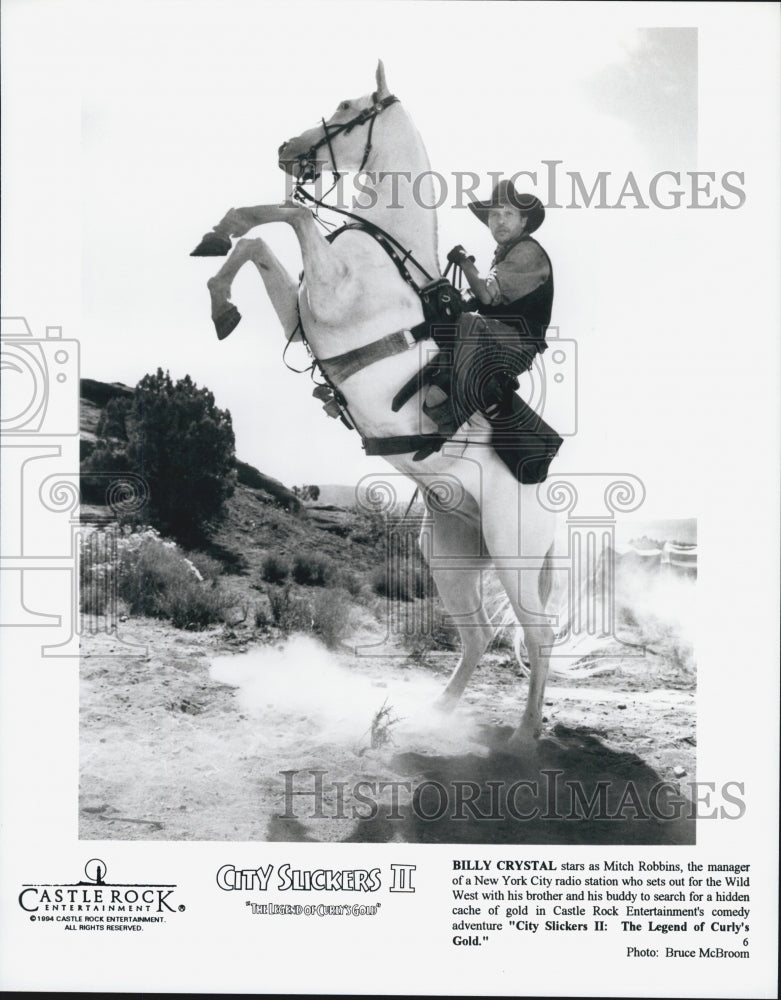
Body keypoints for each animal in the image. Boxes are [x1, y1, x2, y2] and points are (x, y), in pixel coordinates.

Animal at [195, 62, 560, 752]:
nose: (287, 149)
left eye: (346, 105)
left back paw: (524, 735)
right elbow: (256, 248)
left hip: (513, 553)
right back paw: (437, 714)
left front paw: (221, 226)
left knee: (538, 634)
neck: (383, 251)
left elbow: (285, 214)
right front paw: (220, 293)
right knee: (477, 635)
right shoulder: (305, 312)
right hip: (449, 553)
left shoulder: (329, 291)